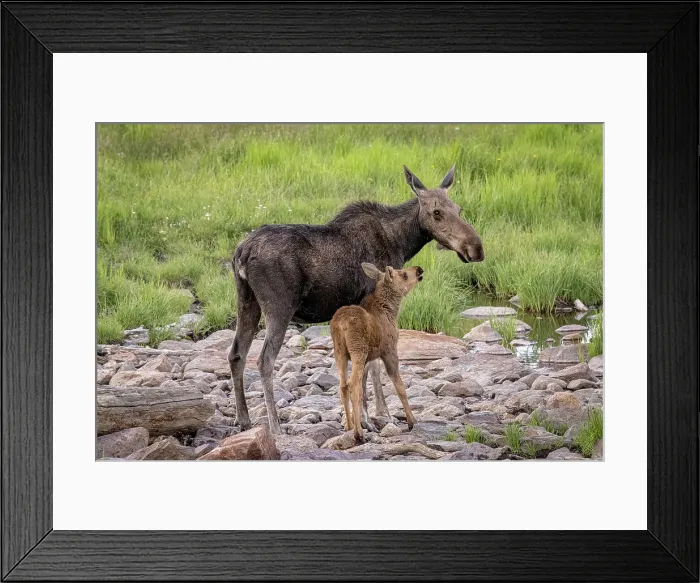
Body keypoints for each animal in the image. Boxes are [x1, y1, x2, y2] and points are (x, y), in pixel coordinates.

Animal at [229, 164, 484, 434]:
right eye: (436, 213)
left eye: (458, 209)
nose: (476, 248)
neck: (402, 242)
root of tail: (241, 252)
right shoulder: (370, 300)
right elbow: (370, 368)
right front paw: (373, 417)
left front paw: (375, 414)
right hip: (279, 307)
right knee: (264, 360)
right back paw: (275, 425)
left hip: (246, 301)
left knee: (236, 354)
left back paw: (243, 419)